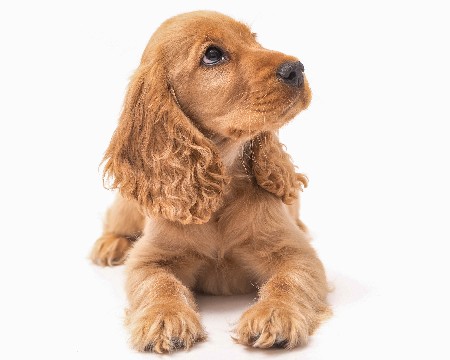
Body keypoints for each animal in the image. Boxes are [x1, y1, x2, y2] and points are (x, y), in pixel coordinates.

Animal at [91, 9, 330, 352]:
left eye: (253, 39)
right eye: (213, 55)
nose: (296, 68)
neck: (223, 183)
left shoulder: (296, 253)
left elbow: (289, 281)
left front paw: (274, 314)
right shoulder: (151, 258)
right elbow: (159, 284)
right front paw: (165, 317)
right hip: (126, 204)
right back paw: (111, 243)